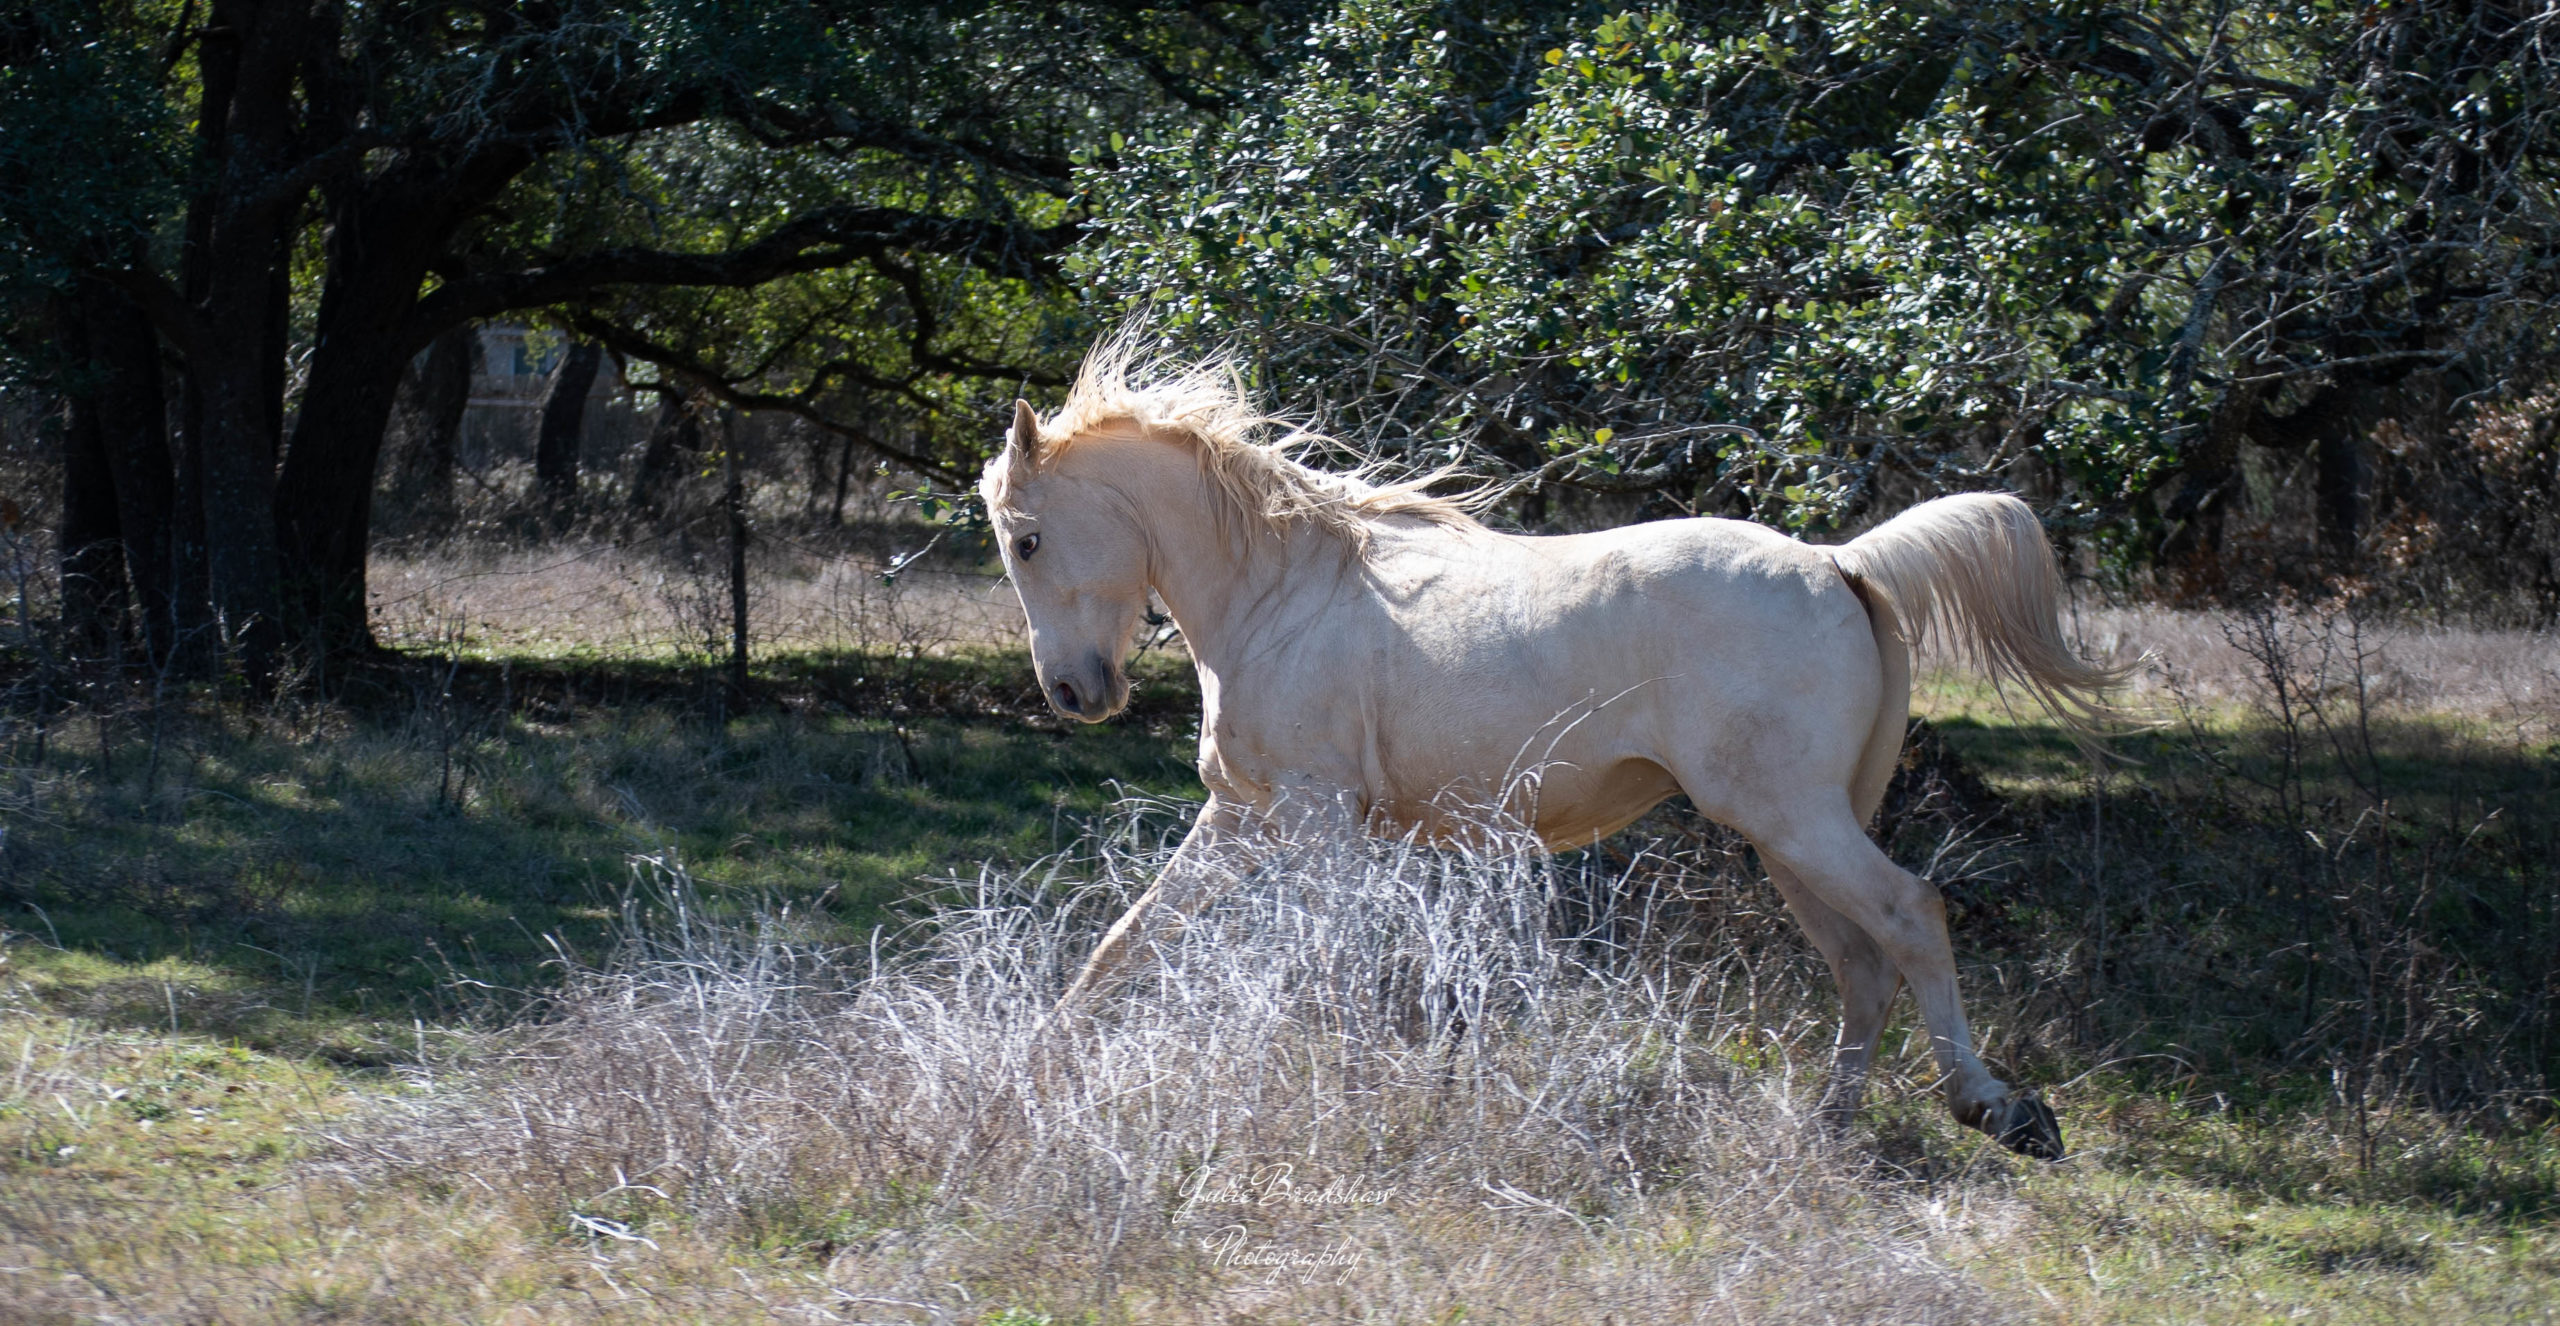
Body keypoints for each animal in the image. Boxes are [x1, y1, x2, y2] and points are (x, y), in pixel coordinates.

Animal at [988, 343, 2129, 1167]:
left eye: (1026, 539)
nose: (1073, 695)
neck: (1279, 595)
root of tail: (1838, 562)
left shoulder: (1317, 823)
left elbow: (1332, 970)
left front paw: (1357, 1097)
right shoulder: (1241, 818)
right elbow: (1125, 943)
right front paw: (1035, 1069)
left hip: (1793, 821)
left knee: (1911, 917)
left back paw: (1997, 1110)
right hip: (1787, 837)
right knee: (1862, 963)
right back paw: (1827, 1136)